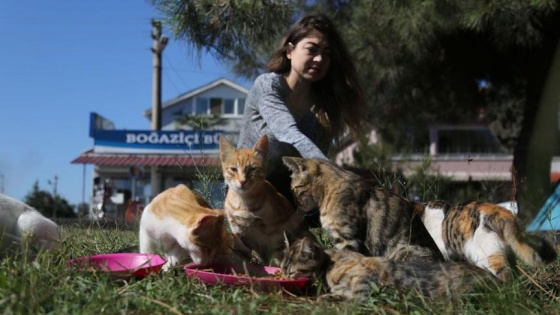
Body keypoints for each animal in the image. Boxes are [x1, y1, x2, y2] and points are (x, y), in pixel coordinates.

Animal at [282, 237, 492, 304]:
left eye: (291, 272)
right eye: (283, 270)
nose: (283, 276)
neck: (329, 263)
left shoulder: (365, 278)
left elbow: (358, 296)